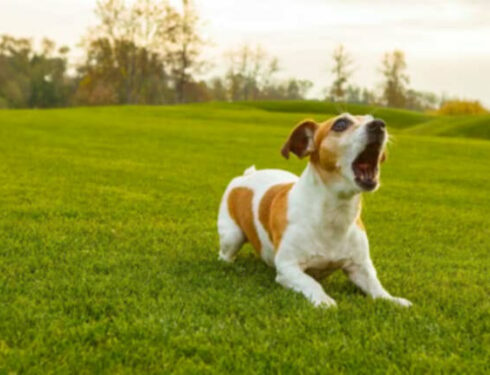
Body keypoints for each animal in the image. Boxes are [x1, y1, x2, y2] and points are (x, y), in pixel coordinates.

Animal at [216, 114, 412, 308]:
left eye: (372, 118)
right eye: (341, 124)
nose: (379, 124)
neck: (335, 214)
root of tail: (245, 176)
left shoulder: (360, 267)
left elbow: (376, 287)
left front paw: (392, 300)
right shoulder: (289, 268)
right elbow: (311, 283)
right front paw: (324, 300)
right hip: (232, 237)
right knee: (225, 255)